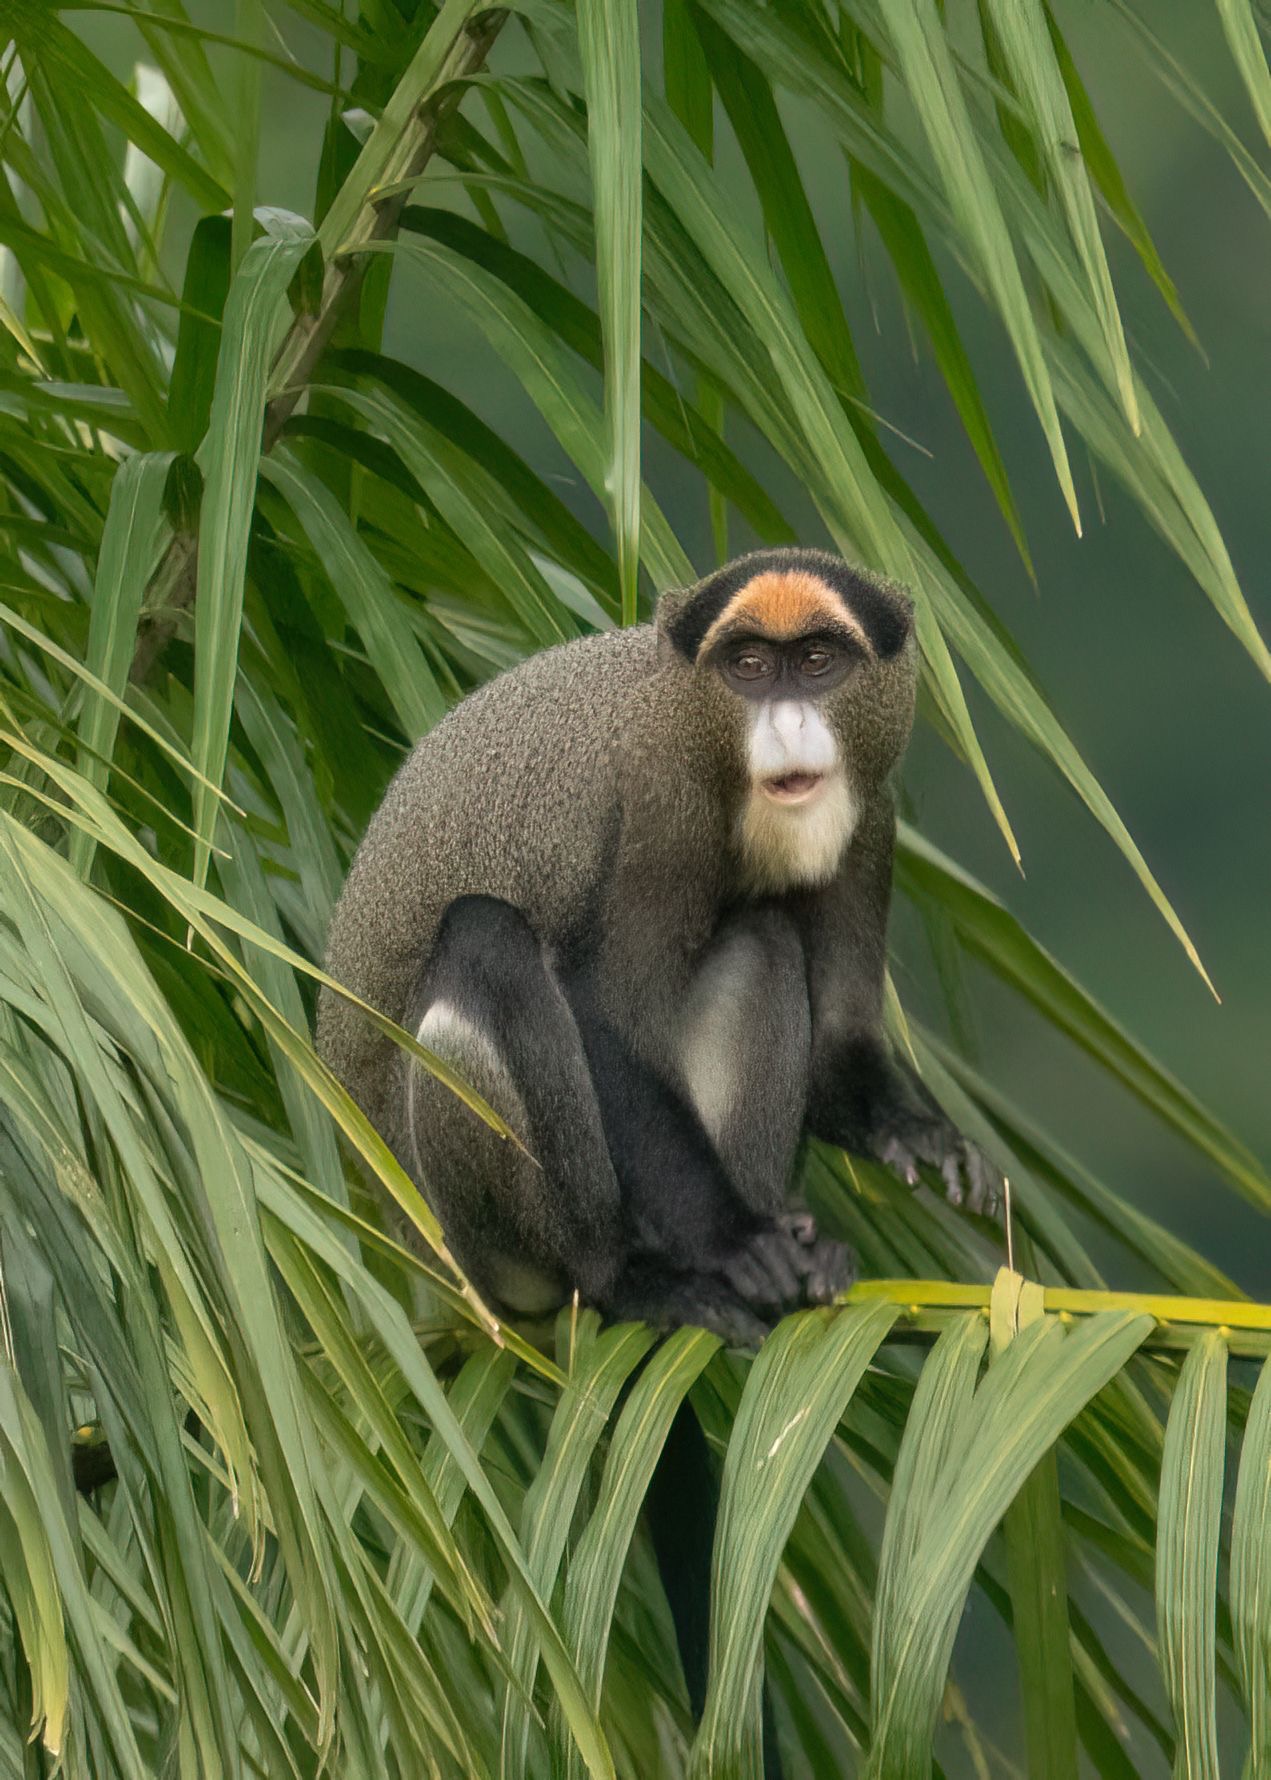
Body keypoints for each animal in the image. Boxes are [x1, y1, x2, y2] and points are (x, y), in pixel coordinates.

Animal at [317, 546, 999, 1346]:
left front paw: (915, 1134)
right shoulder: (660, 803)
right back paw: (633, 1279)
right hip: (470, 1244)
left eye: (816, 661)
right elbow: (610, 1021)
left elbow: (839, 1041)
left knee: (763, 938)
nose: (788, 724)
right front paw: (737, 1243)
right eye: (748, 667)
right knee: (484, 944)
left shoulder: (870, 818)